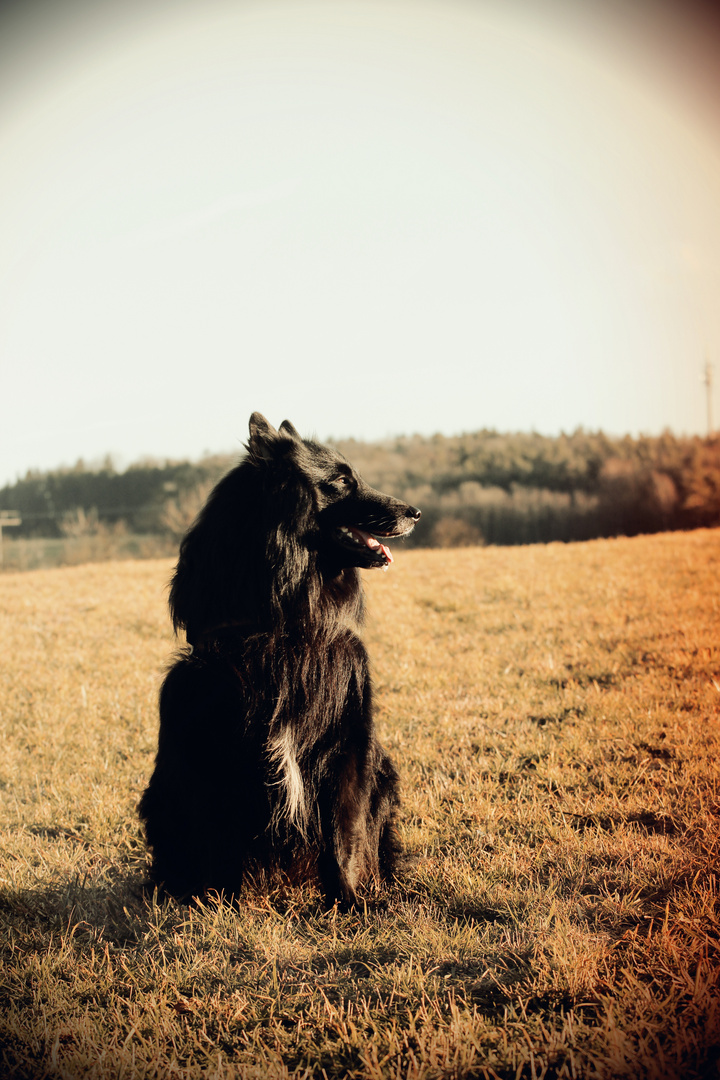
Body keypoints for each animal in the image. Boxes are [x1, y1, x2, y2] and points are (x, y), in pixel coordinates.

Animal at [139, 408, 423, 907]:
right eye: (342, 481)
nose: (416, 512)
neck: (285, 623)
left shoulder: (349, 735)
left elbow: (345, 833)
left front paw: (351, 902)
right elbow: (221, 837)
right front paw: (221, 907)